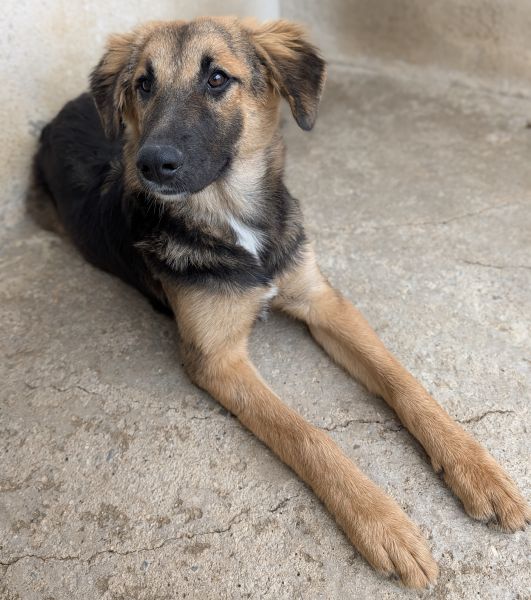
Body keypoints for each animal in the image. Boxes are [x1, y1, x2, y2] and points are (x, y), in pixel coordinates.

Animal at [35, 17, 529, 588]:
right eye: (143, 84)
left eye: (217, 78)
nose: (152, 164)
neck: (235, 220)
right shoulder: (217, 358)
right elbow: (307, 434)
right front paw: (381, 521)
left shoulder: (323, 302)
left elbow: (403, 381)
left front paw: (476, 467)